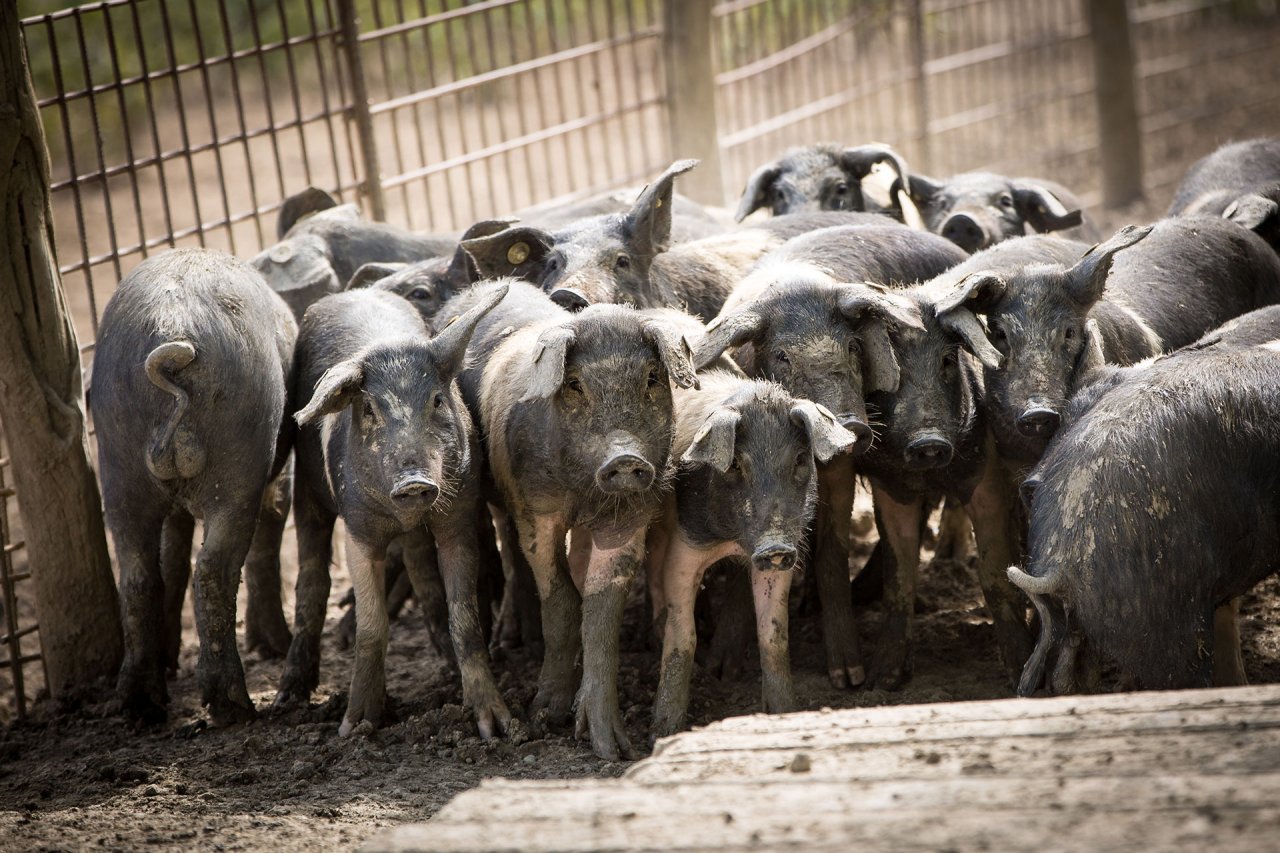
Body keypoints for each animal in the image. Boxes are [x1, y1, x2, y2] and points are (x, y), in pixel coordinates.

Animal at [92, 248, 296, 724]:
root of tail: (171, 339)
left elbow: (172, 557)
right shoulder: (278, 475)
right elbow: (269, 534)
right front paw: (275, 646)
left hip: (118, 463)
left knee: (138, 575)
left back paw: (141, 706)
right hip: (240, 458)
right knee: (215, 570)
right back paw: (233, 707)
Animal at [273, 285, 511, 739]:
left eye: (437, 401)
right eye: (369, 410)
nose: (413, 480)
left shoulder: (458, 517)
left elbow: (465, 618)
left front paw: (497, 728)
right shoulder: (358, 530)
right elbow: (372, 625)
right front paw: (355, 727)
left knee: (422, 572)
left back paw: (447, 667)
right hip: (308, 494)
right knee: (311, 579)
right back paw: (287, 700)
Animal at [438, 280, 698, 760]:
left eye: (652, 379)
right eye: (575, 384)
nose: (625, 458)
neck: (583, 492)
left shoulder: (629, 517)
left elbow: (600, 612)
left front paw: (611, 749)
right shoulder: (535, 510)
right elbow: (559, 599)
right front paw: (541, 716)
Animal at [648, 372, 856, 737]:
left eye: (800, 460)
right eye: (734, 464)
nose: (774, 547)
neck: (734, 542)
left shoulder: (781, 562)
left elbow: (774, 636)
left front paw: (784, 713)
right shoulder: (687, 543)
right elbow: (684, 636)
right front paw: (662, 731)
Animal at [693, 226, 968, 688]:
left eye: (854, 347)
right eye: (783, 356)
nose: (852, 426)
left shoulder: (842, 465)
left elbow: (832, 551)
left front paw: (849, 677)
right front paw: (721, 671)